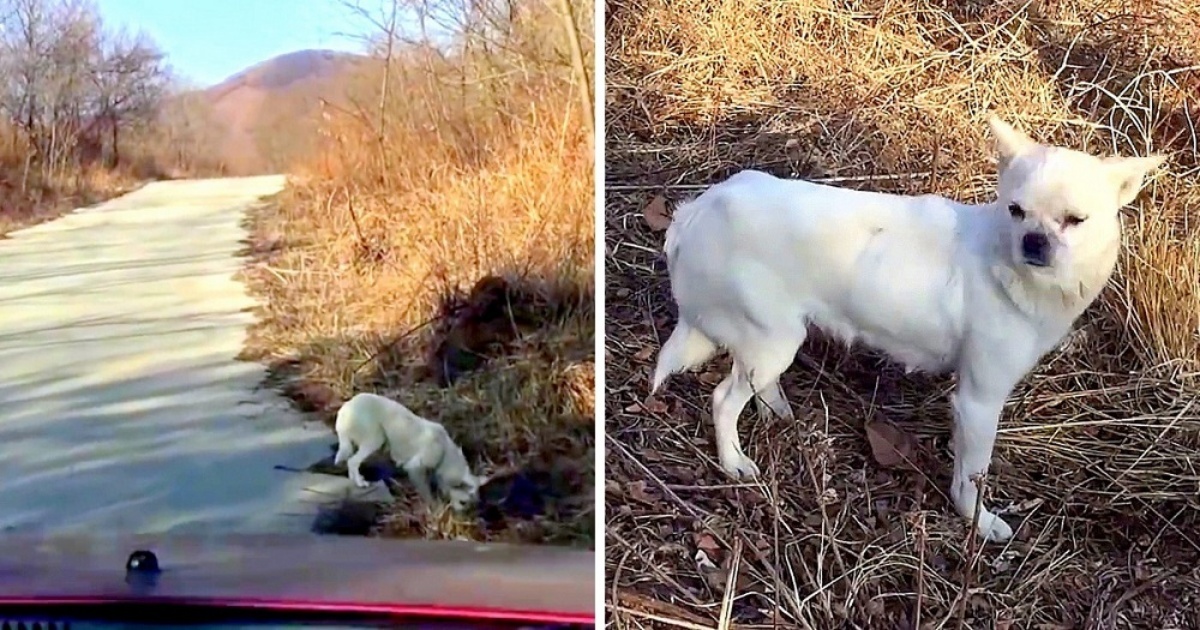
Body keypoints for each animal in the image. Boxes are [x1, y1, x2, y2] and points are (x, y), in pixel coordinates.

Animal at [331, 391, 484, 508]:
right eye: (465, 503)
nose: (463, 519)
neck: (445, 451)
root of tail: (345, 408)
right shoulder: (415, 467)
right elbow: (427, 492)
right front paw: (435, 509)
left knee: (351, 462)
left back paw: (355, 480)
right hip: (375, 439)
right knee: (352, 461)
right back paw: (360, 483)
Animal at [652, 116, 1166, 540]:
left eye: (1075, 221)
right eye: (1016, 210)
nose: (1034, 241)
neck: (1009, 265)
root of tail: (696, 211)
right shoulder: (979, 401)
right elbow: (972, 474)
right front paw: (978, 522)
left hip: (773, 342)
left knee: (756, 384)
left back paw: (777, 412)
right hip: (773, 340)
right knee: (724, 399)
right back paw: (733, 462)